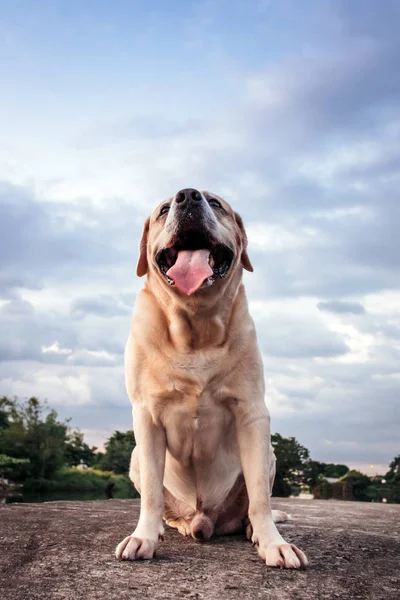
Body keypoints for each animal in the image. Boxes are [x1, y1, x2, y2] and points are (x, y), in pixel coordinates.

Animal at [114, 188, 308, 568]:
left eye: (215, 203)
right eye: (163, 210)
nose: (187, 196)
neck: (195, 327)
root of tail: (204, 520)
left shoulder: (252, 414)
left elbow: (260, 497)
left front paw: (273, 543)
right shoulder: (146, 416)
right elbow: (151, 496)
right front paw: (144, 537)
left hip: (269, 455)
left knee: (252, 505)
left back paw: (249, 530)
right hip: (135, 459)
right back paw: (171, 525)